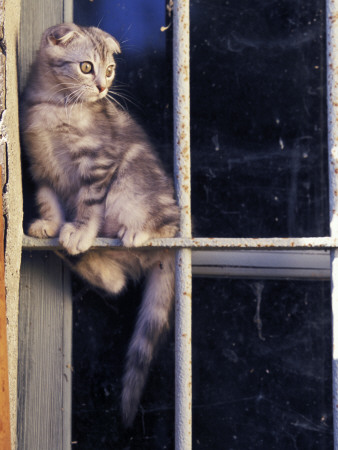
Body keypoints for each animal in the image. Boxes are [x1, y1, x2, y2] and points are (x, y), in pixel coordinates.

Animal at [20, 22, 180, 428]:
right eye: (86, 67)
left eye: (109, 70)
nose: (103, 89)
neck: (56, 107)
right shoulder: (41, 168)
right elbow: (48, 199)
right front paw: (50, 224)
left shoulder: (99, 162)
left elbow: (88, 204)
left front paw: (79, 230)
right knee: (116, 282)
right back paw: (71, 254)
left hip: (133, 187)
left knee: (167, 226)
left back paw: (140, 231)